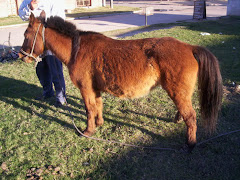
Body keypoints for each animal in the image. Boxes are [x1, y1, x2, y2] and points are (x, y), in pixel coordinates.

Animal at [19, 11, 223, 151]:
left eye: (26, 36)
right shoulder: (94, 89)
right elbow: (98, 106)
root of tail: (189, 47)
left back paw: (190, 143)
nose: (21, 56)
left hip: (177, 92)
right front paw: (99, 124)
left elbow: (88, 109)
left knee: (191, 116)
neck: (76, 49)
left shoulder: (85, 89)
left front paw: (88, 131)